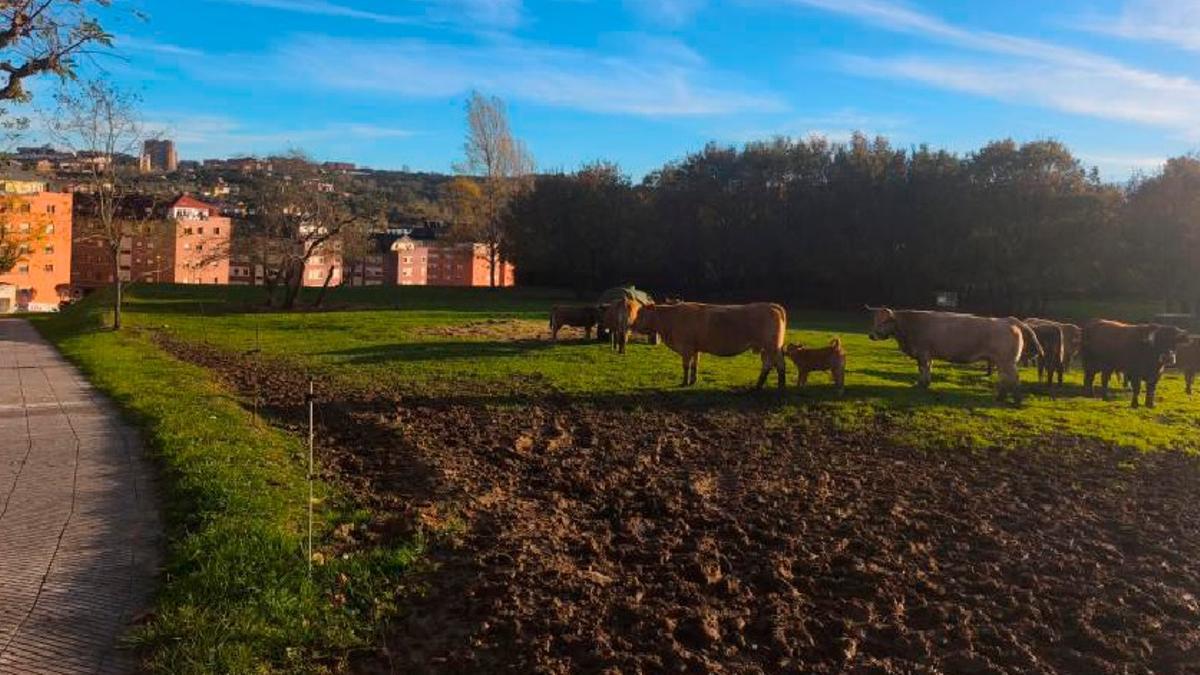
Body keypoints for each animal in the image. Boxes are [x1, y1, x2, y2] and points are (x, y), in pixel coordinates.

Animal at [632, 302, 787, 389]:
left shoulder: (686, 348)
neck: (671, 320)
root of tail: (771, 305)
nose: (632, 325)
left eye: (641, 314)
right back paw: (760, 386)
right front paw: (692, 382)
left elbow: (686, 366)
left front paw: (684, 383)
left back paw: (779, 387)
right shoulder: (695, 349)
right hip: (766, 348)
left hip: (772, 346)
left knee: (779, 364)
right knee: (768, 364)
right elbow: (695, 365)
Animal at [867, 308, 1043, 403]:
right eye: (874, 320)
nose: (871, 335)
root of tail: (1008, 320)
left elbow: (923, 369)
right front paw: (924, 383)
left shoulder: (923, 352)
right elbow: (927, 368)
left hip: (1007, 361)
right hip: (1002, 361)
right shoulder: (927, 354)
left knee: (1013, 379)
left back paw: (1016, 400)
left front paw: (921, 384)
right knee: (1006, 379)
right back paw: (1001, 397)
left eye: (885, 321)